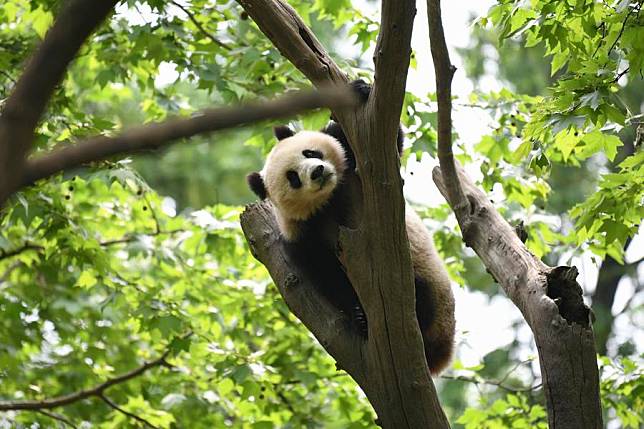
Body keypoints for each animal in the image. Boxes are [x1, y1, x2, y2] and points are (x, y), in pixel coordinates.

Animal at [244, 82, 456, 372]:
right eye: (293, 178)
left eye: (310, 152)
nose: (317, 171)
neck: (332, 197)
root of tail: (441, 356)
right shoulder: (303, 234)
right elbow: (327, 274)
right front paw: (358, 315)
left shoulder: (355, 162)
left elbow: (388, 145)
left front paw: (360, 90)